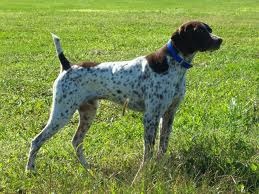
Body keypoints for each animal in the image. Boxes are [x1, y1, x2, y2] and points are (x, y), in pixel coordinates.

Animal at [26, 20, 223, 171]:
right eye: (199, 32)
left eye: (210, 29)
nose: (220, 40)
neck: (172, 64)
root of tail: (67, 67)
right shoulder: (150, 117)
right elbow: (148, 150)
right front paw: (145, 172)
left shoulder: (168, 115)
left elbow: (163, 146)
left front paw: (160, 167)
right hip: (61, 114)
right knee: (36, 141)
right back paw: (30, 171)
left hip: (87, 113)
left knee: (76, 142)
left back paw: (87, 167)